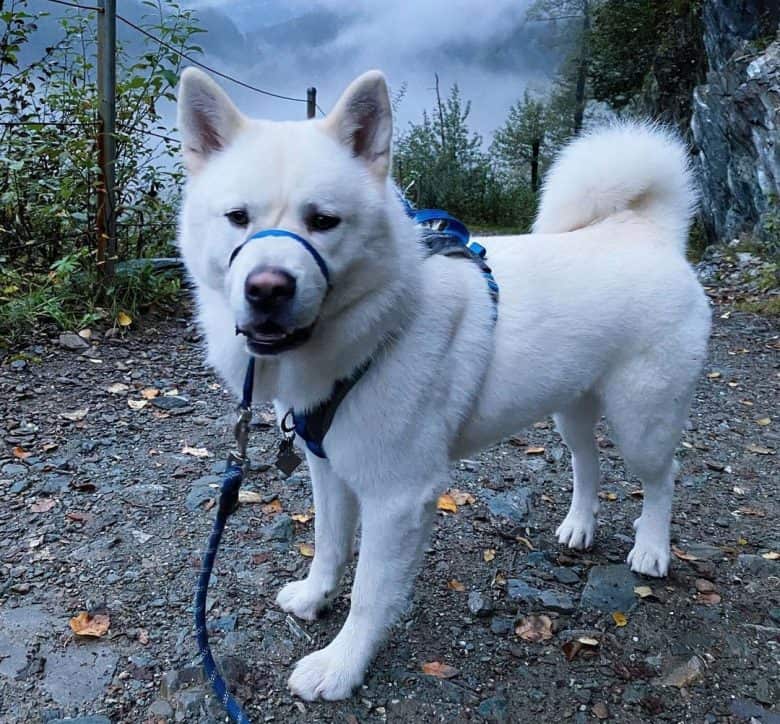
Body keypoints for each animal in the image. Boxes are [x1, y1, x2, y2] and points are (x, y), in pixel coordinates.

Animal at [177, 68, 712, 700]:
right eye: (237, 217)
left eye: (324, 220)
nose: (267, 288)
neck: (379, 326)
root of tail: (645, 231)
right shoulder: (329, 468)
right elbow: (329, 546)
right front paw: (315, 597)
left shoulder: (398, 498)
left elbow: (368, 594)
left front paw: (341, 666)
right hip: (571, 407)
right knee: (588, 462)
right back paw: (579, 526)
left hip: (641, 422)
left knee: (660, 478)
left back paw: (652, 547)